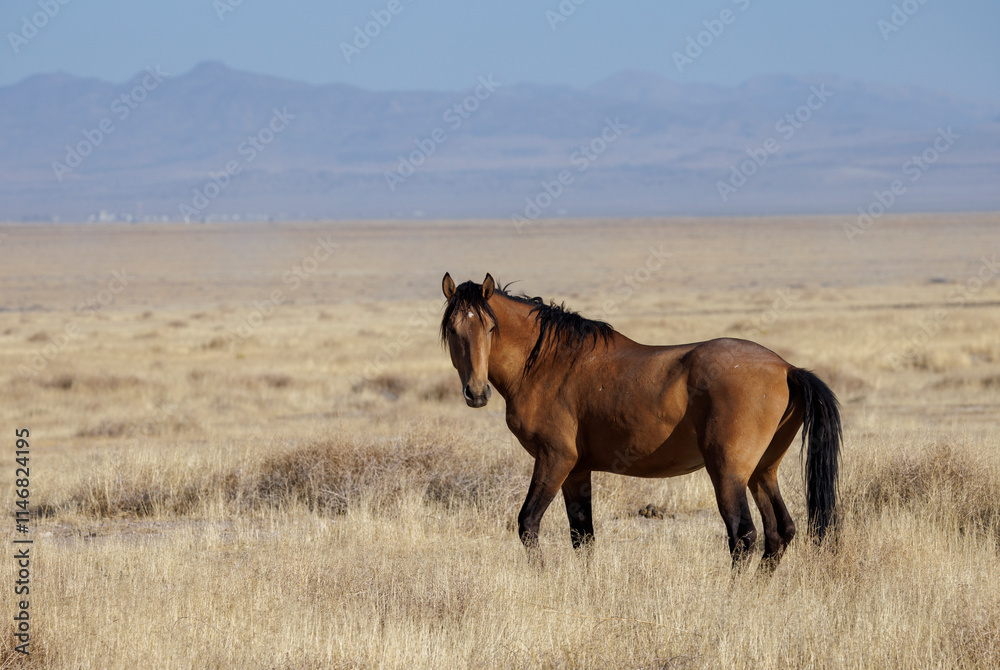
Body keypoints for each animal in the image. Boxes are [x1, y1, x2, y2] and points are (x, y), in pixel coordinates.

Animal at [442, 272, 840, 572]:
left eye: (490, 328)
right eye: (453, 331)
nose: (475, 392)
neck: (548, 363)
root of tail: (786, 368)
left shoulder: (554, 459)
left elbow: (528, 524)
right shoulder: (576, 471)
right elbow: (582, 535)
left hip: (729, 474)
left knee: (743, 535)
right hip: (762, 473)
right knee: (780, 532)